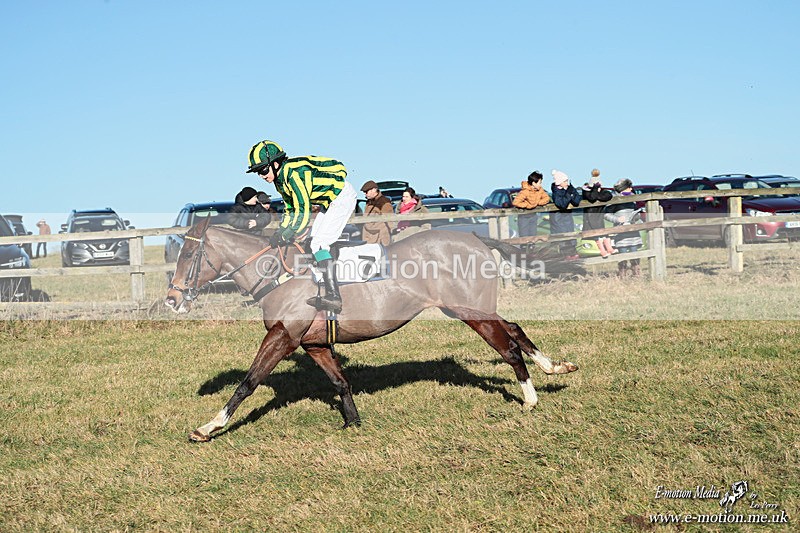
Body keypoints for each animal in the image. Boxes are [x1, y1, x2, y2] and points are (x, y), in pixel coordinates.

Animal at [165, 217, 578, 442]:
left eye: (189, 254)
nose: (172, 298)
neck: (277, 275)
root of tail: (474, 237)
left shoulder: (283, 336)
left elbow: (248, 382)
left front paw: (209, 426)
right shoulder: (314, 344)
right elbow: (340, 381)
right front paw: (352, 421)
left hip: (470, 310)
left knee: (507, 348)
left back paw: (529, 398)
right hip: (468, 307)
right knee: (514, 328)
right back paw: (555, 367)